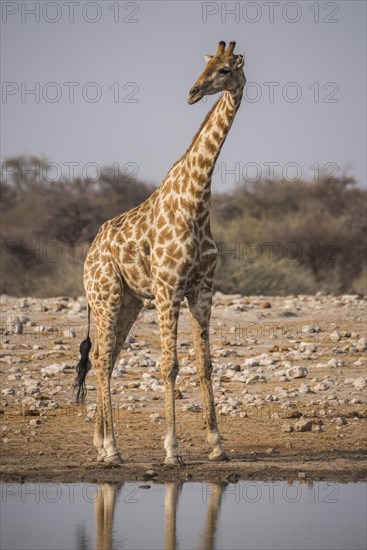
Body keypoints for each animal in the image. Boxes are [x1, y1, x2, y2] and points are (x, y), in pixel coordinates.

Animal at [75, 41, 247, 468]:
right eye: (208, 66)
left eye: (224, 70)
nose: (192, 92)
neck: (196, 200)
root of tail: (89, 254)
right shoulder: (169, 289)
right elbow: (169, 365)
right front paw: (172, 450)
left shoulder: (202, 289)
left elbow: (205, 364)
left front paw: (217, 445)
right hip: (105, 297)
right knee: (101, 359)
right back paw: (112, 449)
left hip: (129, 302)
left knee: (106, 358)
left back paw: (101, 444)